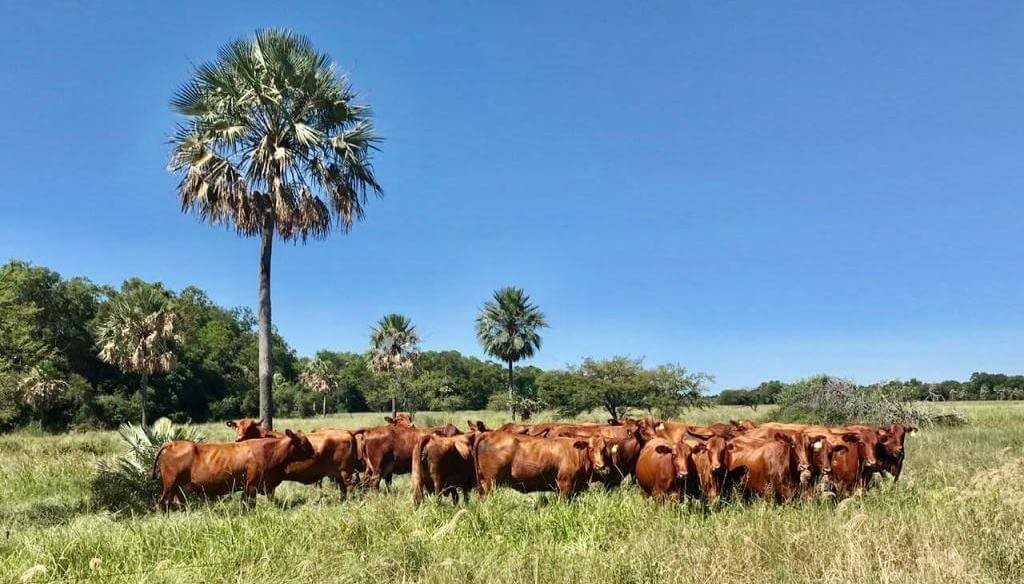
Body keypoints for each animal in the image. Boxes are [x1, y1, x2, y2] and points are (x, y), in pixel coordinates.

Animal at [152, 428, 315, 508]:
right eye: (304, 443)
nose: (315, 453)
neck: (269, 451)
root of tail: (174, 443)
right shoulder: (251, 486)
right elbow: (249, 505)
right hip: (170, 485)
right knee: (163, 503)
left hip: (179, 488)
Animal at [473, 432, 606, 495]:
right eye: (590, 448)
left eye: (603, 448)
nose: (600, 465)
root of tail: (490, 434)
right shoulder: (565, 484)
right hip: (491, 482)